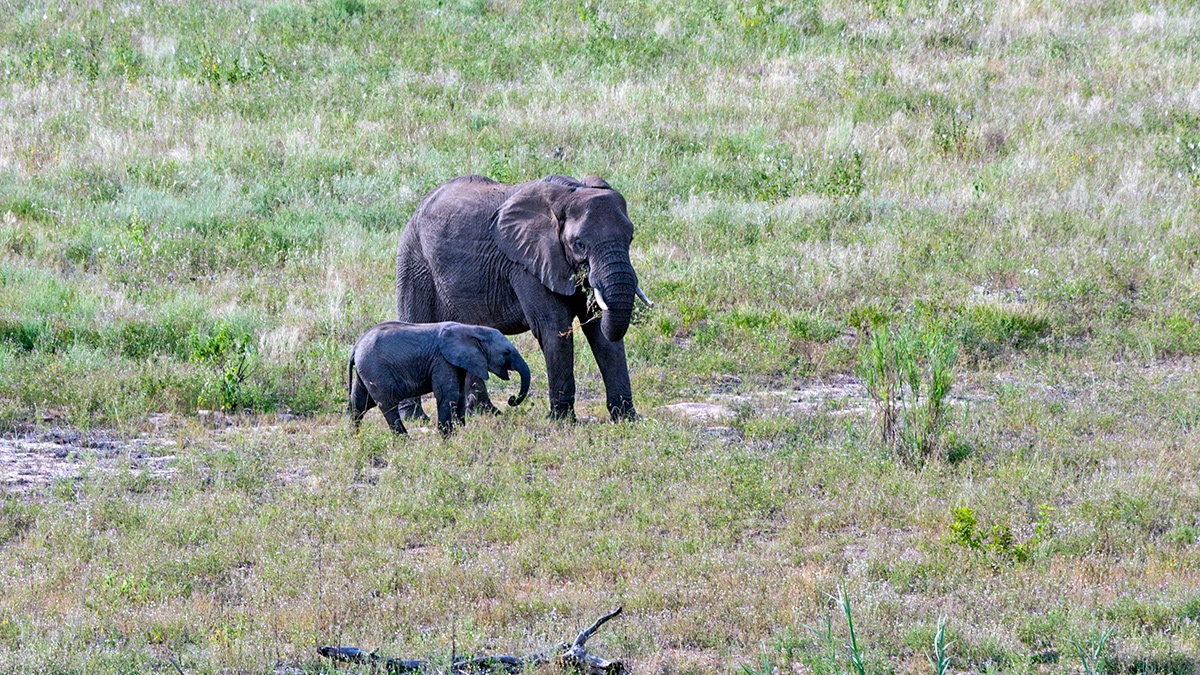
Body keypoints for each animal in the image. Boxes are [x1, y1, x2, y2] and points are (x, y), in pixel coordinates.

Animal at [348, 321, 531, 436]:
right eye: (506, 353)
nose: (511, 399)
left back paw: (355, 437)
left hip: (366, 370)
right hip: (376, 370)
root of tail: (356, 347)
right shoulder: (442, 361)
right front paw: (446, 438)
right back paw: (405, 441)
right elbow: (447, 395)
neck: (472, 329)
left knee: (360, 403)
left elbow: (459, 395)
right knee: (387, 405)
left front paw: (459, 432)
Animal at [395, 174, 651, 422]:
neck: (568, 194)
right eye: (579, 244)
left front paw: (628, 419)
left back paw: (485, 413)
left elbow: (599, 331)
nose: (511, 400)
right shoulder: (526, 264)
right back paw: (416, 418)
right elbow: (553, 327)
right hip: (414, 261)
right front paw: (561, 421)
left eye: (630, 238)